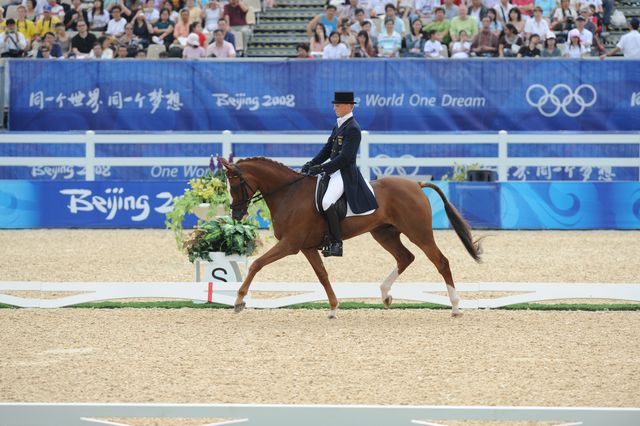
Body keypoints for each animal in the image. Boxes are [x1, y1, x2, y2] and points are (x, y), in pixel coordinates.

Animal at [221, 157, 482, 318]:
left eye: (234, 184)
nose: (236, 214)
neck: (289, 193)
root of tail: (416, 184)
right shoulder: (306, 247)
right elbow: (322, 275)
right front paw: (334, 308)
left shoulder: (290, 244)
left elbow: (256, 264)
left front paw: (239, 301)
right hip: (384, 233)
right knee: (405, 258)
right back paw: (385, 295)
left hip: (419, 233)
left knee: (441, 262)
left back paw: (456, 307)